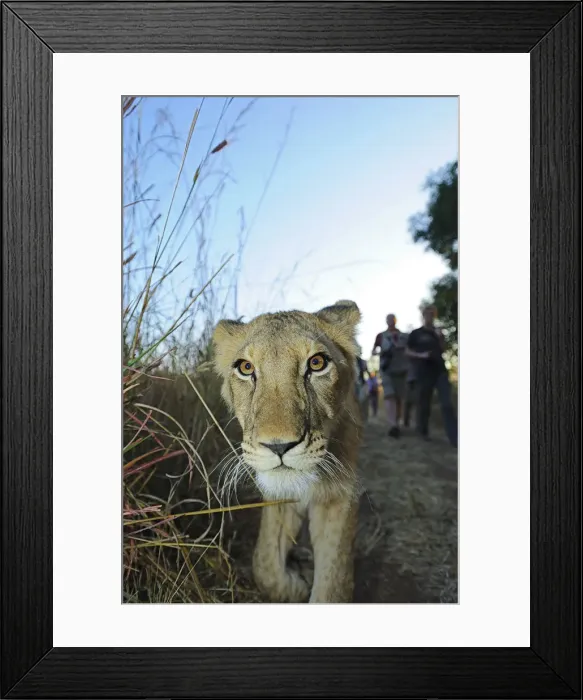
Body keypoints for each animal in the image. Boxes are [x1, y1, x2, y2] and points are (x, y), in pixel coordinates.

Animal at [212, 299, 363, 603]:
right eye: (245, 367)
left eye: (317, 363)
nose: (278, 446)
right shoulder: (278, 496)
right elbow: (266, 565)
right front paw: (297, 584)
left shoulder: (340, 494)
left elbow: (334, 583)